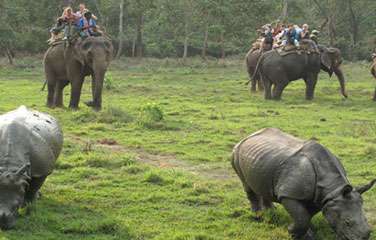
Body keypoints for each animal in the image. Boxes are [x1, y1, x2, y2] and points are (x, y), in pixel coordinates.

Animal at [231, 128, 374, 240]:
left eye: (366, 219)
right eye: (347, 222)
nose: (364, 237)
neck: (333, 188)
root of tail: (246, 137)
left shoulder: (322, 198)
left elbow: (306, 215)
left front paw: (307, 234)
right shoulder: (289, 194)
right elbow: (302, 218)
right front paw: (291, 231)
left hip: (262, 159)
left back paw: (271, 211)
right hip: (236, 153)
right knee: (246, 184)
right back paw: (258, 216)